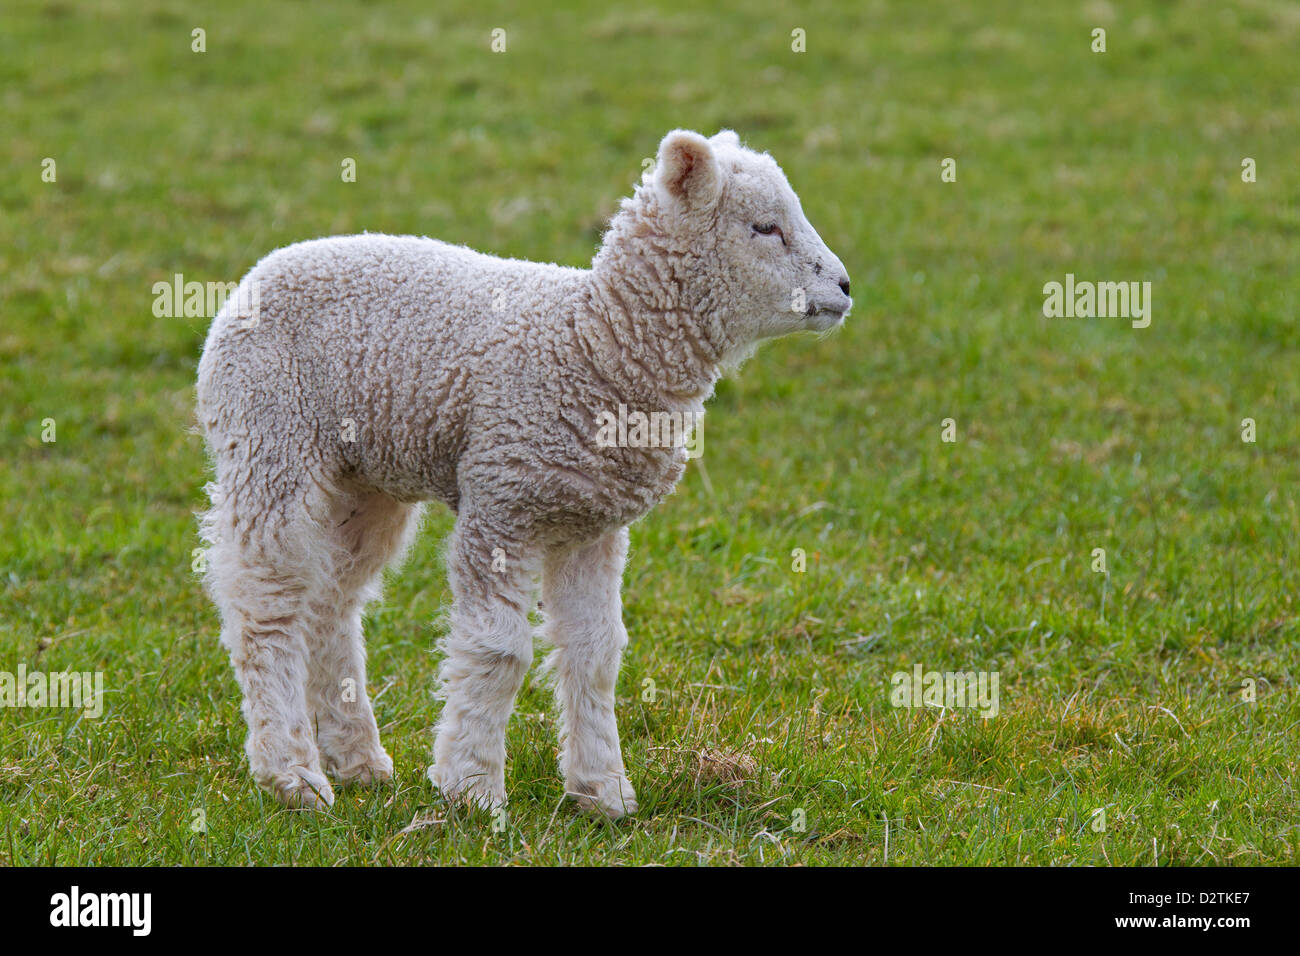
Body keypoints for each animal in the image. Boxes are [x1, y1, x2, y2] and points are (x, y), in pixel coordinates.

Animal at [189, 125, 842, 816]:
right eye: (765, 227)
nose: (846, 288)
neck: (594, 341)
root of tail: (256, 275)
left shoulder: (591, 524)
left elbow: (595, 654)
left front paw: (602, 791)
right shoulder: (501, 504)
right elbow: (499, 651)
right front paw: (472, 789)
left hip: (362, 479)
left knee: (331, 602)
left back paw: (358, 759)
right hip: (270, 440)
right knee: (268, 603)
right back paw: (292, 775)